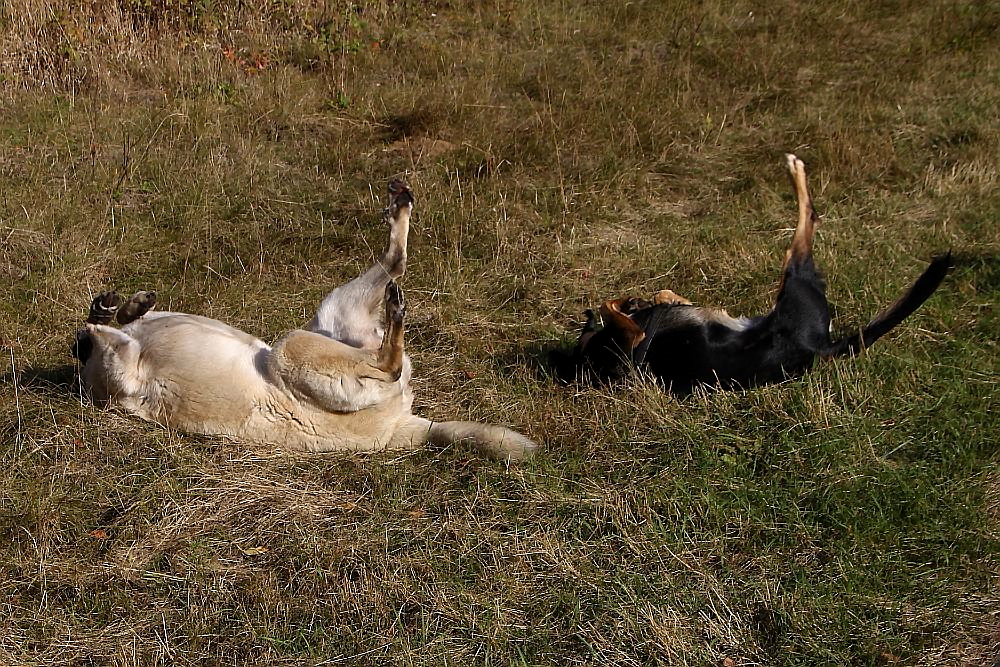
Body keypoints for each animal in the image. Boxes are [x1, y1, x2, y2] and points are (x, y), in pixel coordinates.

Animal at [73, 183, 540, 464]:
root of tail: (407, 426)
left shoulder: (121, 371)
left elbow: (105, 335)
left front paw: (112, 313)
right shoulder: (124, 377)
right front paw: (106, 320)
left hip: (315, 334)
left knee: (393, 289)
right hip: (309, 339)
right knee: (390, 326)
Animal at [556, 155, 952, 392]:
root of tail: (821, 347)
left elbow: (649, 298)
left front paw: (652, 298)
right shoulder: (632, 340)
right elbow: (613, 307)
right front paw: (632, 302)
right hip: (796, 283)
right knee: (807, 223)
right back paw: (795, 170)